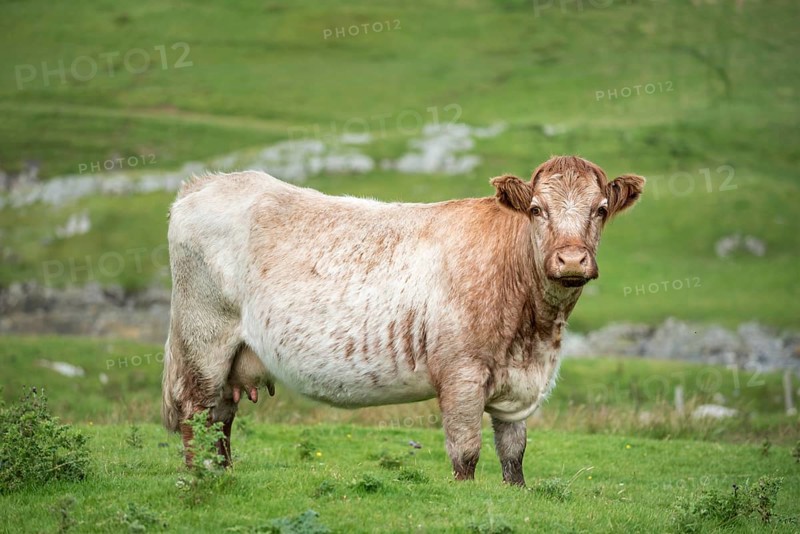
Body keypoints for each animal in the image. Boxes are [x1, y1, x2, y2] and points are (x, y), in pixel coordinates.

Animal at [161, 155, 644, 485]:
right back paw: (201, 479)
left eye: (600, 209)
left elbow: (514, 455)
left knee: (220, 418)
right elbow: (466, 453)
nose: (571, 260)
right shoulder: (461, 375)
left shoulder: (518, 383)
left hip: (231, 359)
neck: (536, 334)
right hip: (203, 341)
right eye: (537, 209)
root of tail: (205, 183)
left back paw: (222, 474)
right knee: (195, 413)